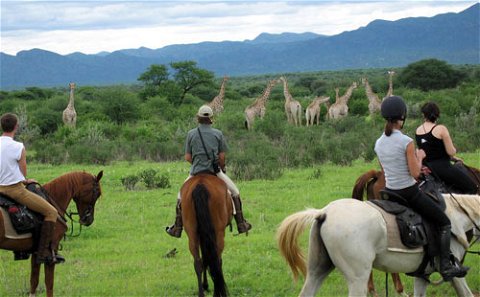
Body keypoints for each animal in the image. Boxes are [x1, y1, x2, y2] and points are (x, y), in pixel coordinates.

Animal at [278, 194, 480, 296]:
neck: (456, 217)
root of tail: (324, 212)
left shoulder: (423, 275)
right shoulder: (455, 275)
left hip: (317, 271)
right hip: (358, 279)